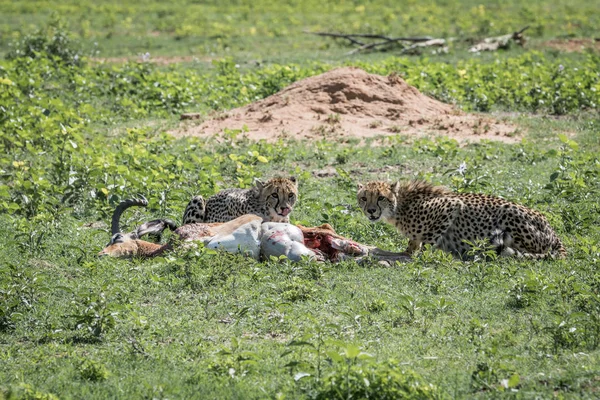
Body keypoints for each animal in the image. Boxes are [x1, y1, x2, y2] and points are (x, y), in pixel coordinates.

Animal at [356, 179, 568, 260]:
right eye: (364, 198)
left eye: (381, 197)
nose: (371, 211)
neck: (399, 207)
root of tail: (554, 233)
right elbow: (410, 245)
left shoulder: (450, 205)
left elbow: (427, 242)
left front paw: (421, 256)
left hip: (509, 214)